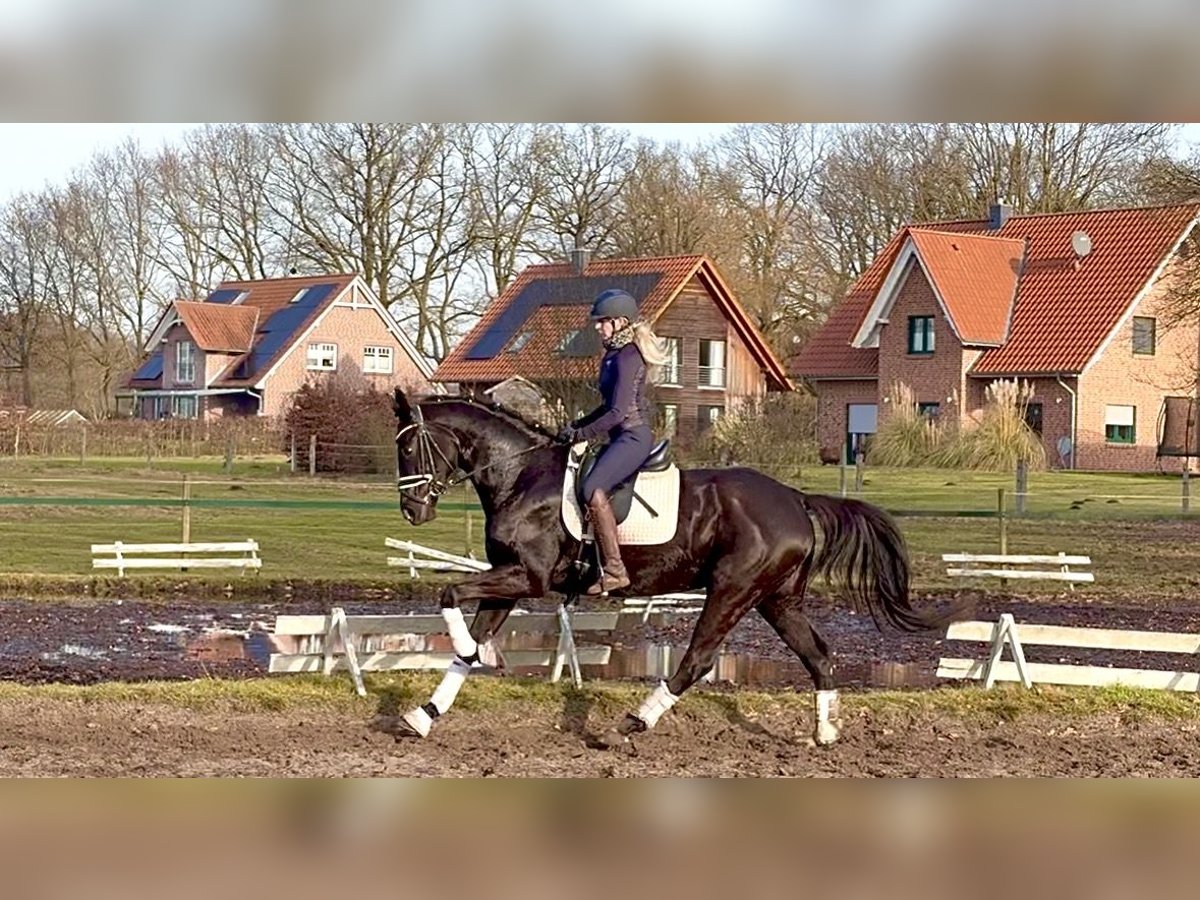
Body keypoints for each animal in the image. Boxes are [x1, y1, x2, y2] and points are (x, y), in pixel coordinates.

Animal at [391, 388, 963, 747]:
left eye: (412, 446)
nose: (412, 511)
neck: (521, 475)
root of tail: (796, 500)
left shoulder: (527, 578)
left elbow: (448, 596)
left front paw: (468, 650)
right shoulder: (507, 581)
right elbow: (465, 638)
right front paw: (424, 715)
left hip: (733, 590)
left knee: (697, 660)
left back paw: (630, 724)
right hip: (777, 599)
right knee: (818, 657)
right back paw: (824, 735)